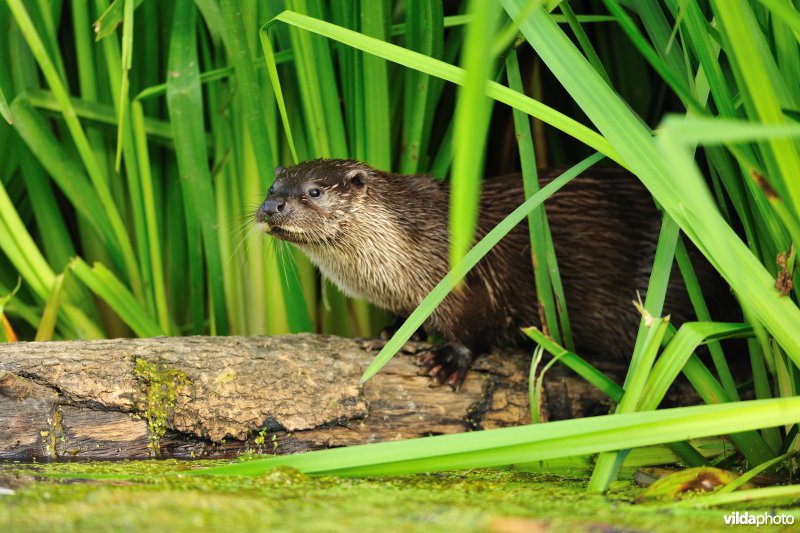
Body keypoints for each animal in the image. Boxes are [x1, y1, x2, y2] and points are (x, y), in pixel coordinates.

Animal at [255, 159, 723, 389]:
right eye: (272, 187)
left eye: (314, 191)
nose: (271, 206)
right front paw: (395, 331)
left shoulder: (467, 276)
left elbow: (478, 324)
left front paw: (447, 359)